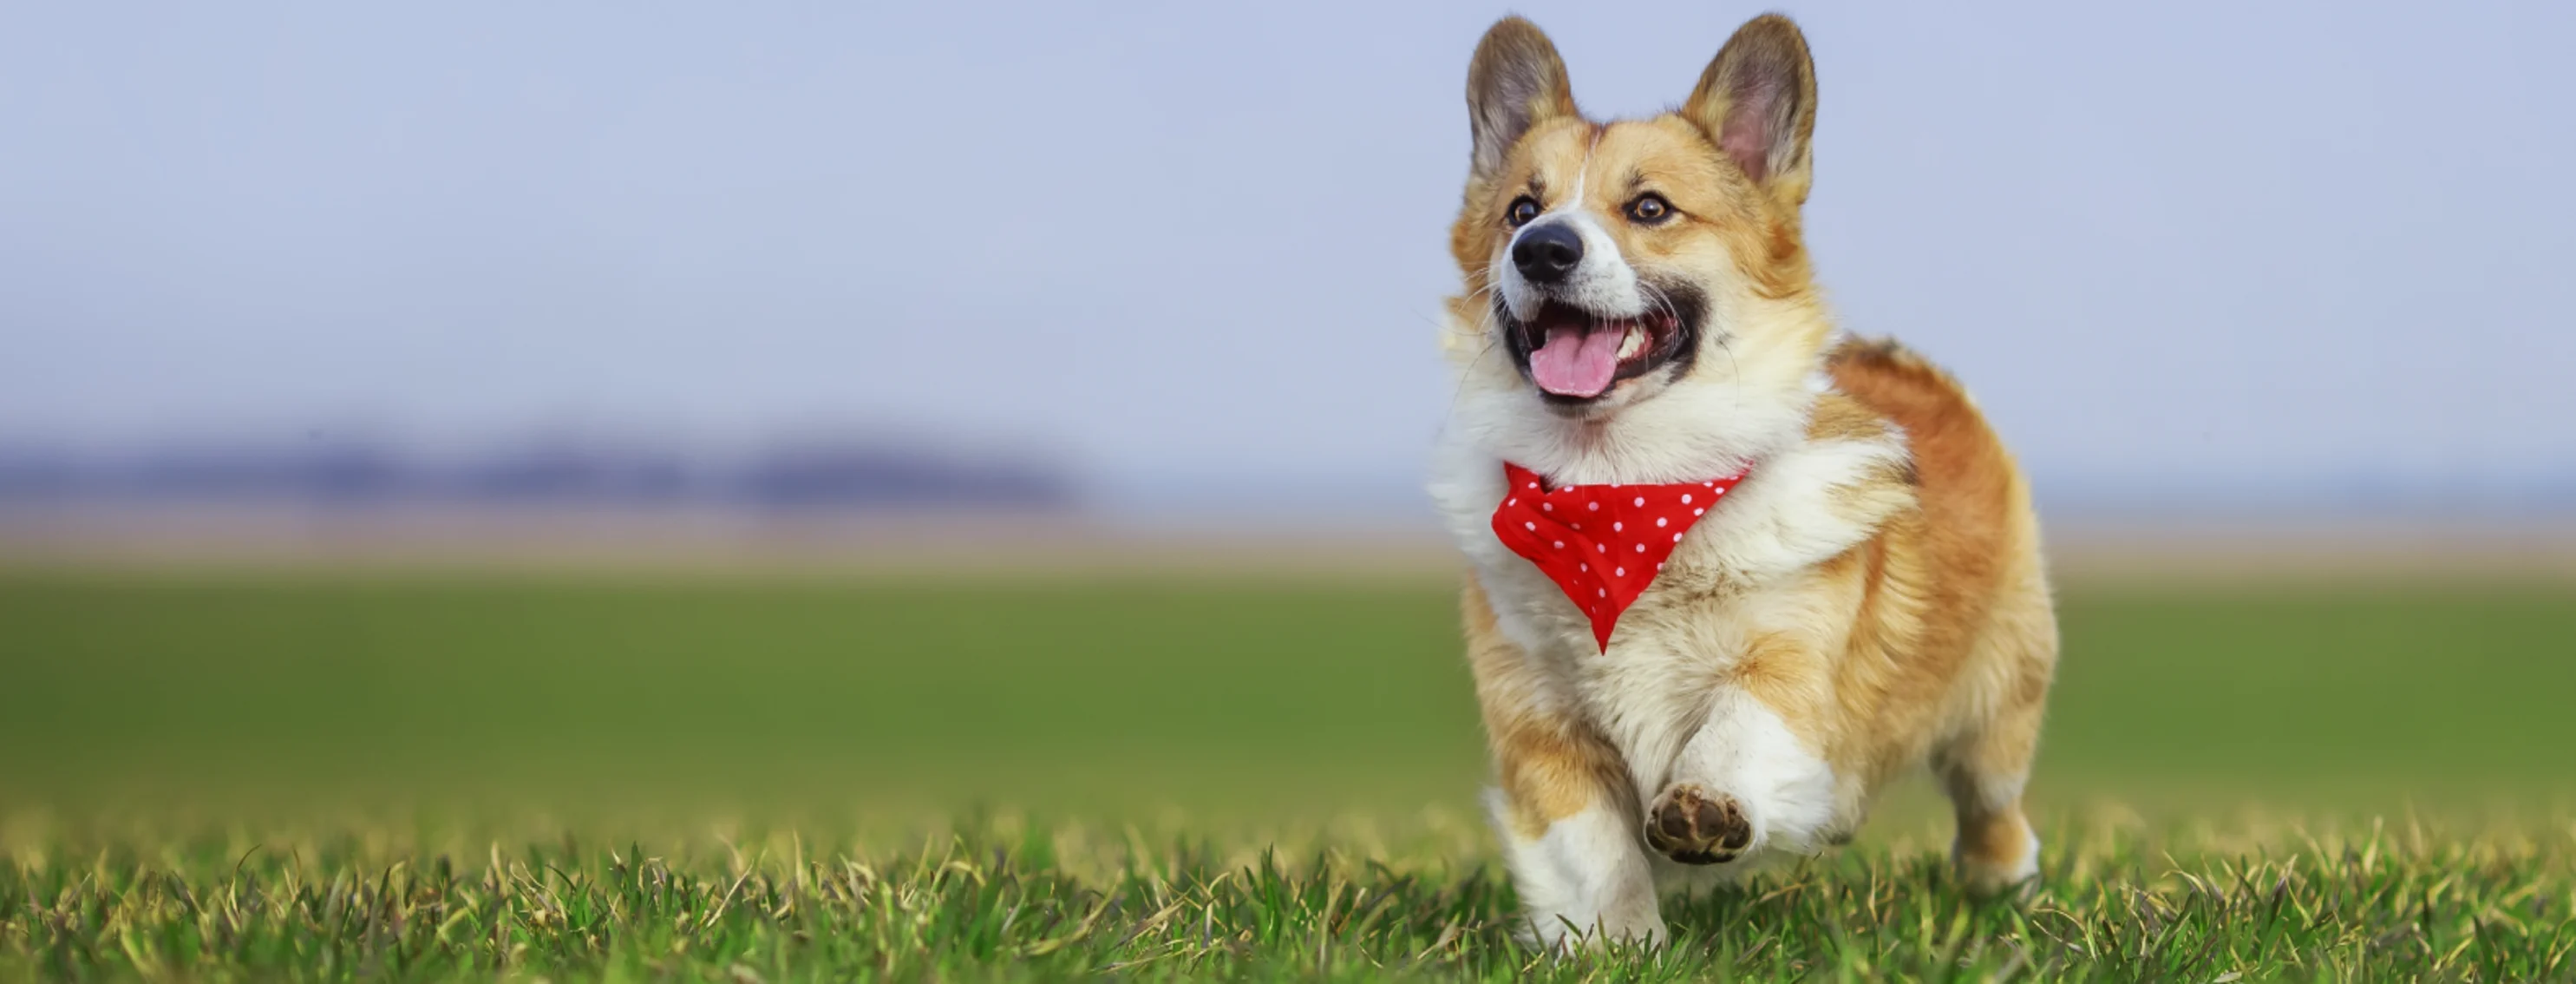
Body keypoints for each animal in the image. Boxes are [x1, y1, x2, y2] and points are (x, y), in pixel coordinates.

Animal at [1432, 10, 2050, 948]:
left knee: (1994, 805)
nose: (1542, 250)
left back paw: (2000, 885)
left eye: (1650, 208)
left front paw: (1707, 806)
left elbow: (1737, 724)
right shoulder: (1540, 725)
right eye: (1521, 211)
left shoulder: (1791, 666)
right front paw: (1621, 948)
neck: (1622, 489)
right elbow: (1596, 855)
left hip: (1998, 704)